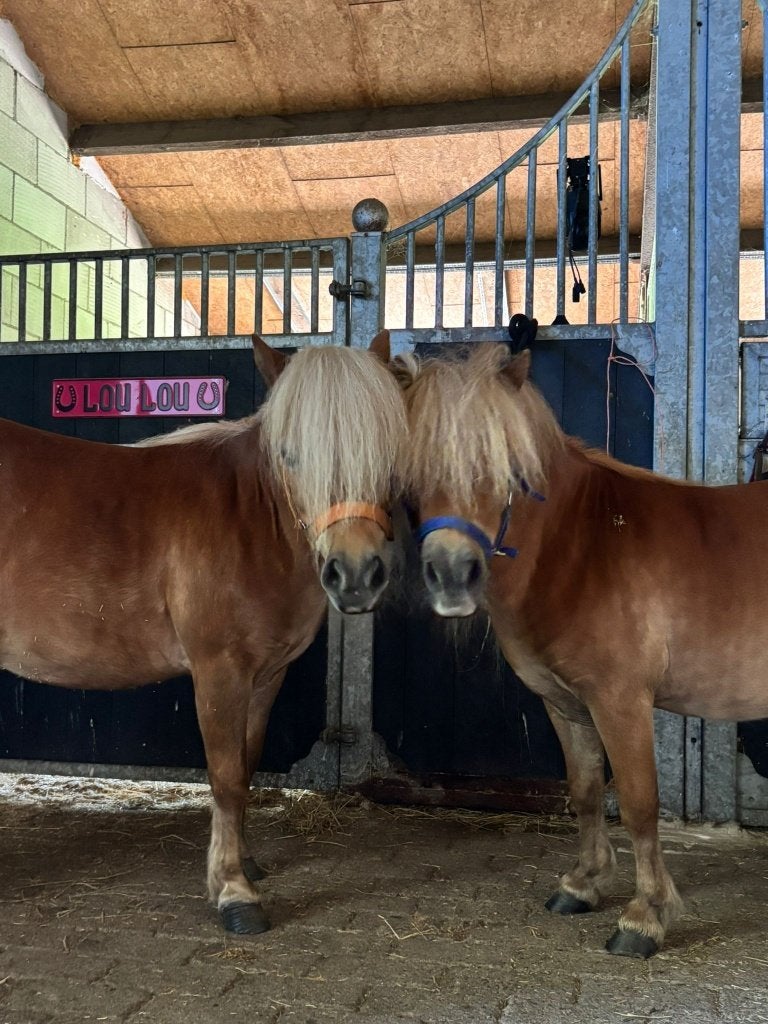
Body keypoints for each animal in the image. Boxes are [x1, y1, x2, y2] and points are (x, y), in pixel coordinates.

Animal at [0, 332, 406, 935]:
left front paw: (245, 863)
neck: (252, 517)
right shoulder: (220, 671)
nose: (355, 574)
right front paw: (235, 892)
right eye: (291, 454)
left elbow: (248, 762)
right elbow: (226, 775)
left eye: (385, 450)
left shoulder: (266, 676)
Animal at [393, 338, 768, 958]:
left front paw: (644, 918)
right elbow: (587, 790)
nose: (451, 575)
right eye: (412, 471)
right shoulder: (567, 704)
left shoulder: (620, 701)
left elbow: (638, 803)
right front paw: (583, 885)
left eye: (502, 465)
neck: (582, 545)